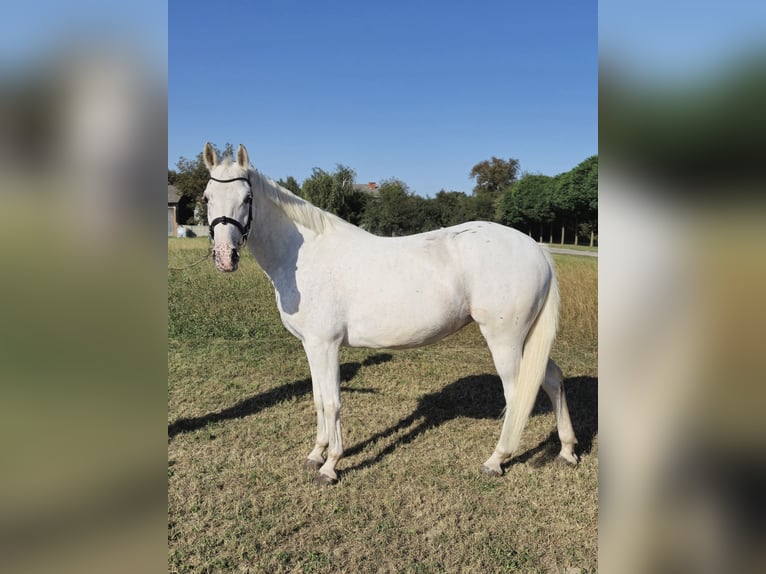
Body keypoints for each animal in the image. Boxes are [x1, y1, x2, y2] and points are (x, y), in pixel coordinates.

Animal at [201, 144, 580, 486]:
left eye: (247, 198)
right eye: (206, 198)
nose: (225, 256)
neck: (304, 254)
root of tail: (536, 248)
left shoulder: (326, 345)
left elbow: (333, 402)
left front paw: (331, 465)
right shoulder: (311, 345)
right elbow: (319, 399)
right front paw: (316, 454)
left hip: (505, 341)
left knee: (517, 396)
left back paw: (496, 460)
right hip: (527, 339)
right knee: (552, 379)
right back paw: (567, 451)